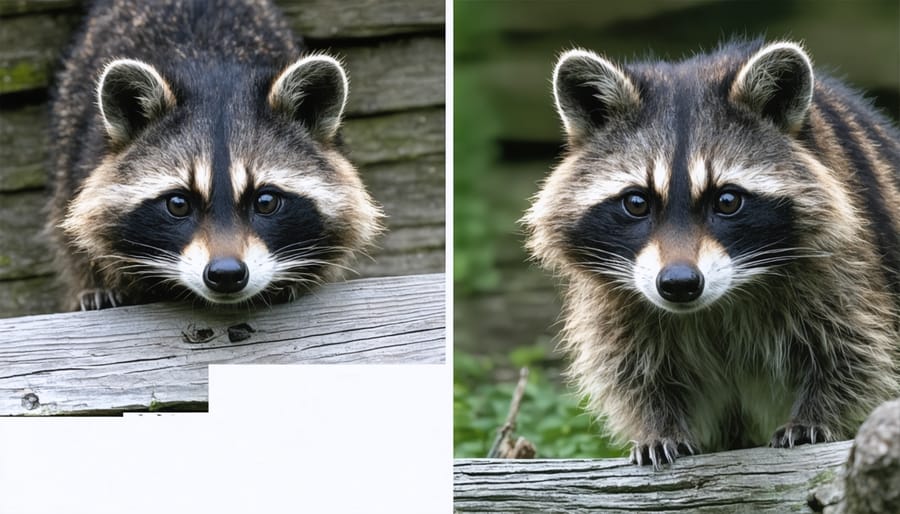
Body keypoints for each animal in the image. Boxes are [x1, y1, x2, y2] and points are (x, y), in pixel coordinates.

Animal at [49, 0, 382, 310]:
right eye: (178, 204)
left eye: (266, 201)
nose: (226, 274)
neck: (213, 72)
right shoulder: (83, 159)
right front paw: (100, 284)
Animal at [520, 39, 900, 464]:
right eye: (636, 202)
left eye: (728, 200)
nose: (679, 283)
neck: (715, 304)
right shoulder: (614, 298)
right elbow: (629, 370)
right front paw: (658, 426)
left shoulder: (842, 266)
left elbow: (853, 353)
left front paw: (816, 416)